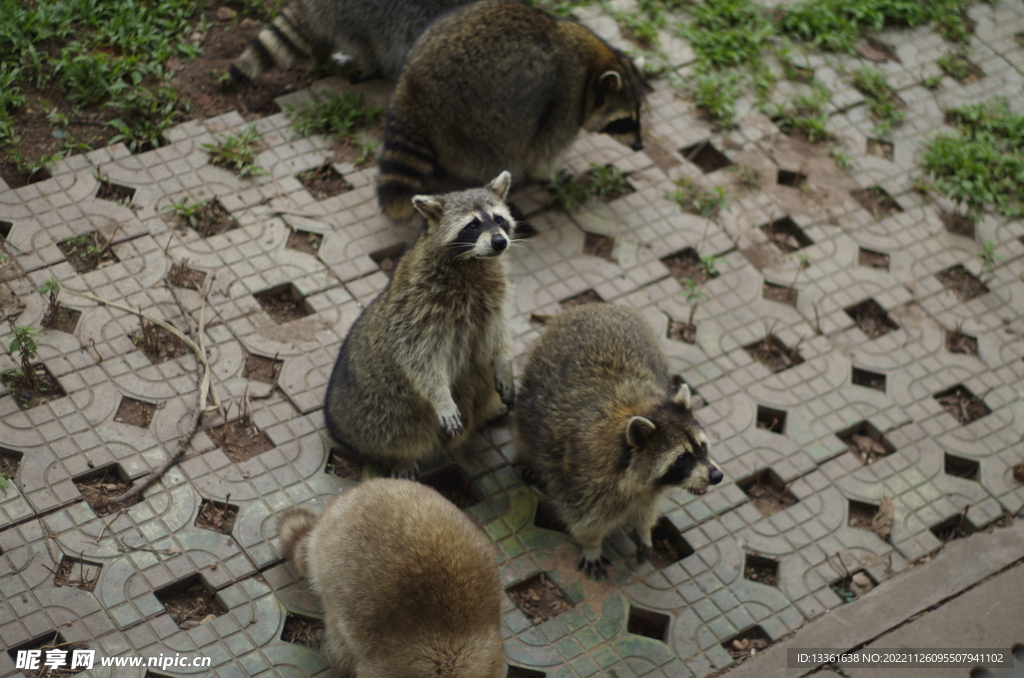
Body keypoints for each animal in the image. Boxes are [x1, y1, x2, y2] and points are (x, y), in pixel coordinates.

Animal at [323, 171, 516, 477]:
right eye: (473, 225)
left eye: (499, 219)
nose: (500, 242)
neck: (474, 262)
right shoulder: (417, 309)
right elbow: (419, 357)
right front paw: (441, 397)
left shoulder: (494, 300)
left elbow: (500, 333)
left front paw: (506, 362)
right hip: (378, 409)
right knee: (398, 429)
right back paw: (401, 457)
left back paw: (487, 412)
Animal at [376, 0, 647, 220]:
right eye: (624, 122)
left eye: (639, 115)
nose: (639, 146)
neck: (594, 67)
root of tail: (413, 88)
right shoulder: (564, 102)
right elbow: (544, 151)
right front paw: (548, 175)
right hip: (483, 121)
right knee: (505, 153)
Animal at [516, 305, 724, 581]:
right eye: (682, 458)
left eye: (702, 447)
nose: (716, 476)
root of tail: (593, 307)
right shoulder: (581, 479)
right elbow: (583, 518)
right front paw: (591, 544)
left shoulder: (646, 493)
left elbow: (645, 510)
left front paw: (644, 529)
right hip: (533, 383)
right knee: (526, 426)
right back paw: (528, 454)